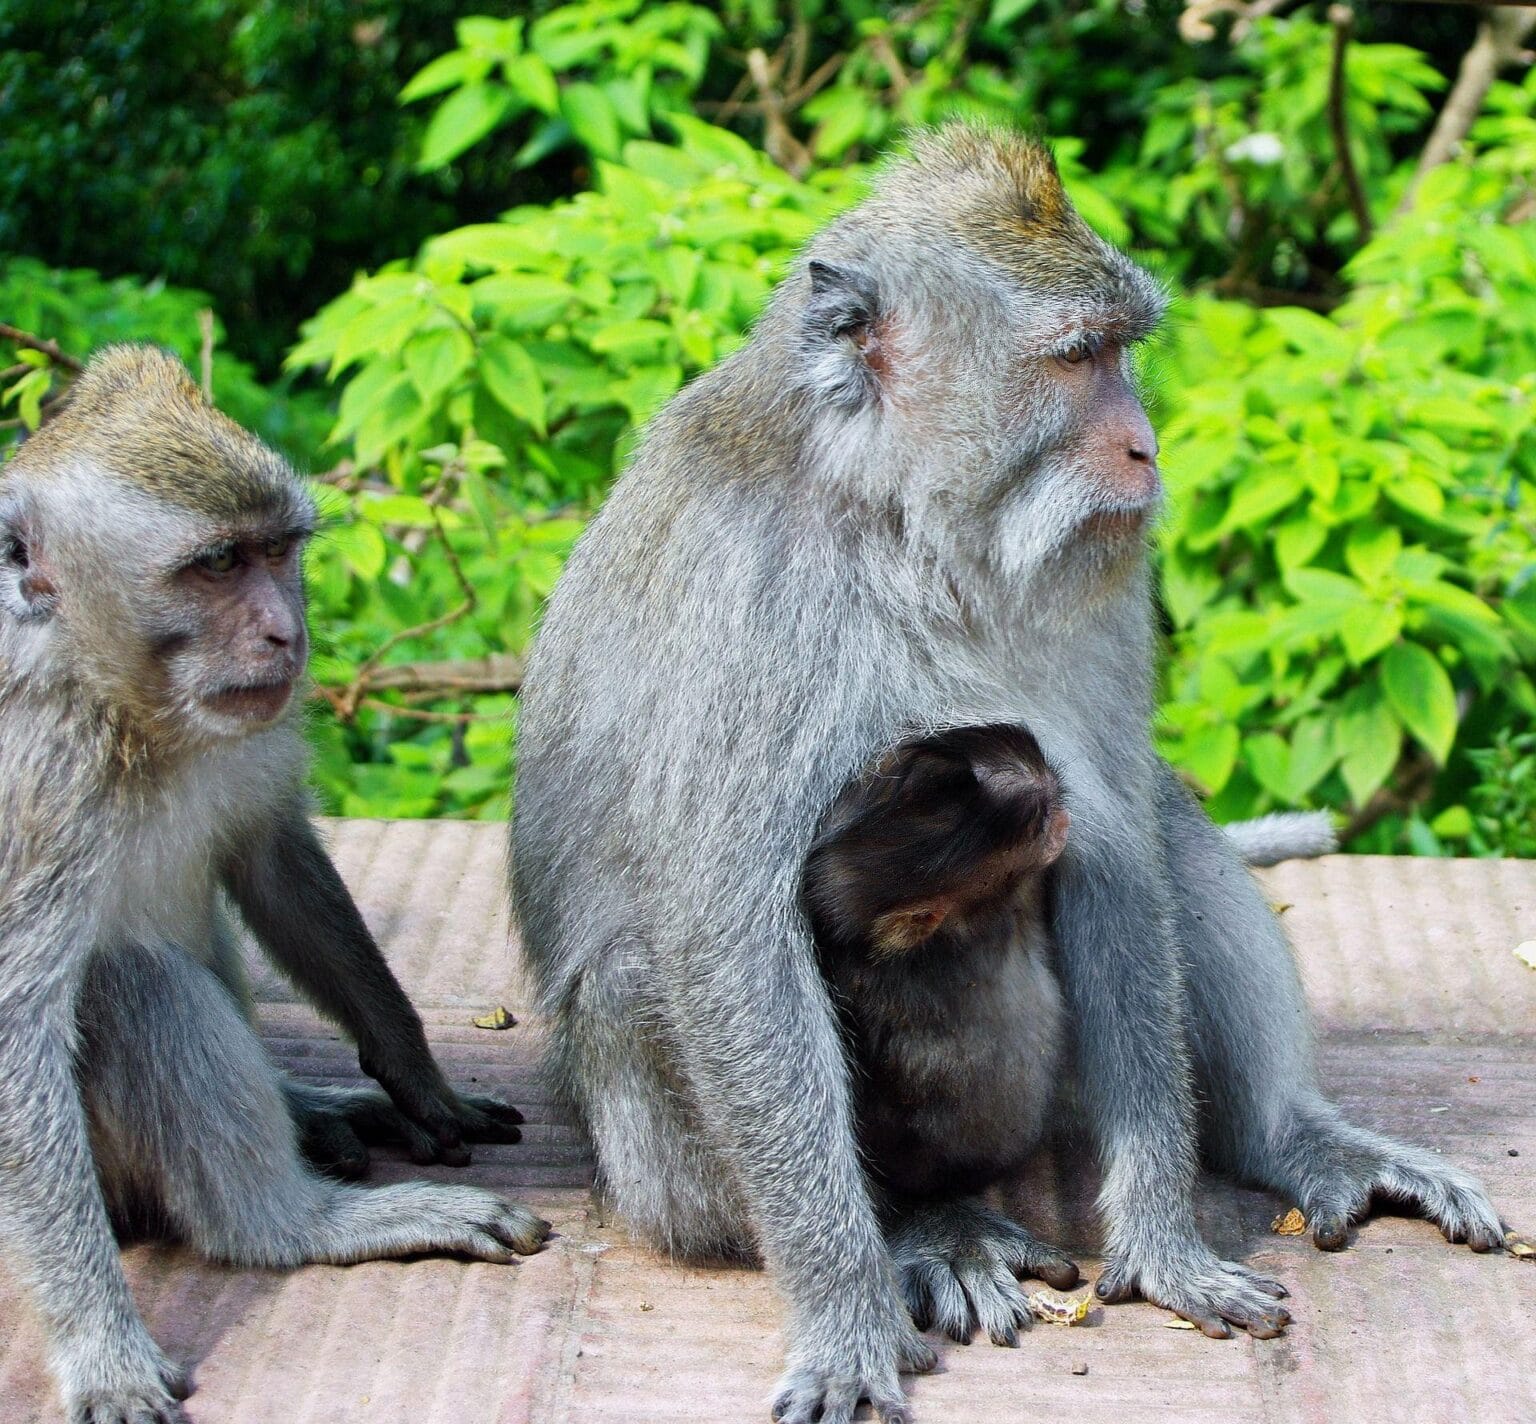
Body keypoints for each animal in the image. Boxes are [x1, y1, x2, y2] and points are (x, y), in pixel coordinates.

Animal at [0, 346, 548, 1424]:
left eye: (275, 551)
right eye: (215, 565)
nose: (284, 635)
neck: (121, 704)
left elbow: (270, 854)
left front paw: (415, 1073)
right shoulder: (41, 777)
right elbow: (13, 1024)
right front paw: (103, 1348)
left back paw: (309, 1107)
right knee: (133, 984)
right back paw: (295, 1222)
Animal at [511, 125, 1510, 1424]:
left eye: (1124, 352)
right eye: (1078, 357)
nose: (1145, 447)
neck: (903, 524)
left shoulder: (1106, 572)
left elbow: (1118, 842)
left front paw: (1164, 1238)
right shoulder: (746, 583)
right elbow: (729, 930)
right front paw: (844, 1312)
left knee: (1171, 829)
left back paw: (1292, 1138)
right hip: (647, 1173)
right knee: (644, 980)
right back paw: (926, 1232)